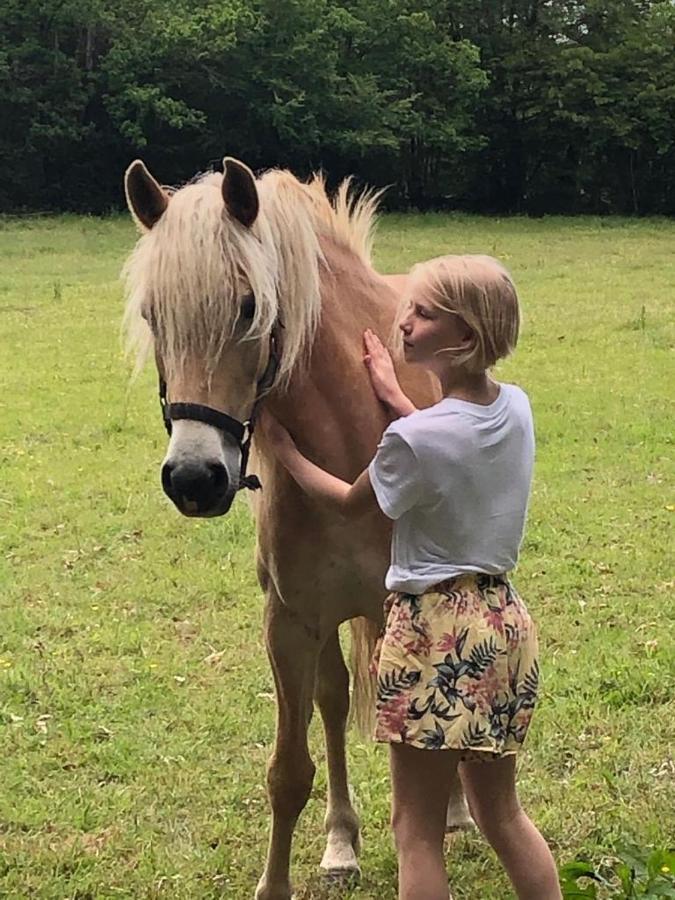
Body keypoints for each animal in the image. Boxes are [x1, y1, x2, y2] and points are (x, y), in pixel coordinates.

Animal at [123, 158, 470, 896]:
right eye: (151, 314)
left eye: (249, 307)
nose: (194, 478)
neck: (346, 432)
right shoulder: (289, 621)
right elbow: (288, 771)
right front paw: (282, 877)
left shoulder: (399, 607)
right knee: (333, 702)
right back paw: (341, 839)